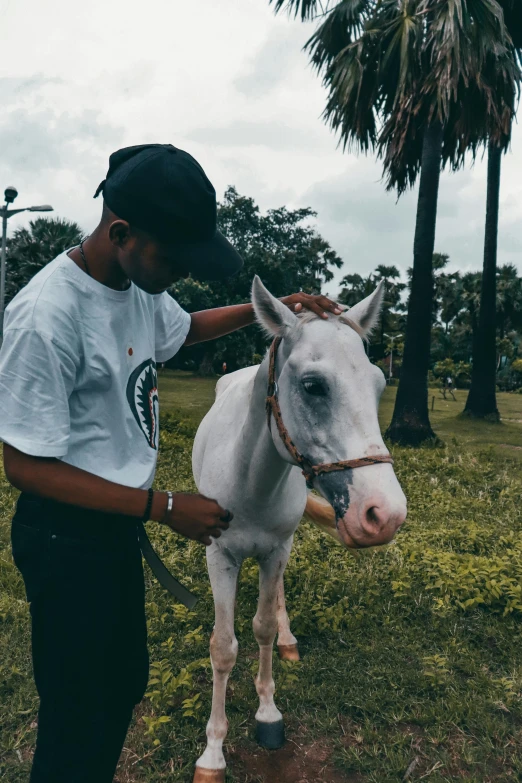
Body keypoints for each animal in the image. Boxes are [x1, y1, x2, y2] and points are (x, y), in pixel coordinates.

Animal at [189, 278, 404, 783]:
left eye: (379, 384)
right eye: (312, 386)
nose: (384, 514)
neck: (251, 481)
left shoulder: (276, 549)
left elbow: (264, 627)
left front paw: (268, 712)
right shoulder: (219, 557)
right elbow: (223, 647)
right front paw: (213, 752)